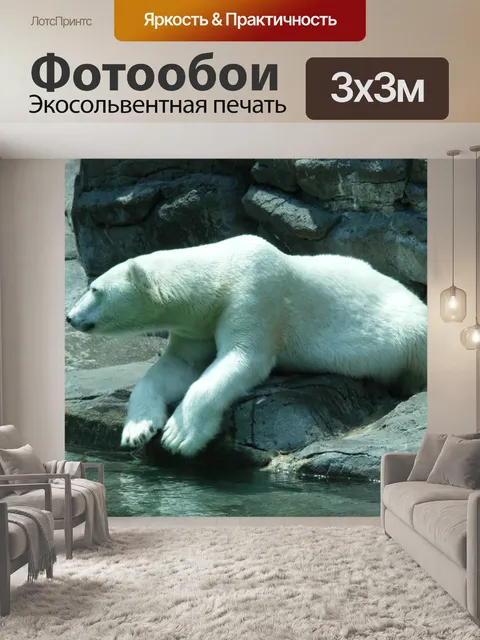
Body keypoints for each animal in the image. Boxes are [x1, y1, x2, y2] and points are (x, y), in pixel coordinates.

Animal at [66, 234, 427, 458]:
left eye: (95, 289)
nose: (70, 317)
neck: (218, 272)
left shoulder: (256, 291)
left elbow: (243, 357)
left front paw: (179, 436)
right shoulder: (196, 325)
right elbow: (177, 367)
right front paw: (138, 429)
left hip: (409, 329)